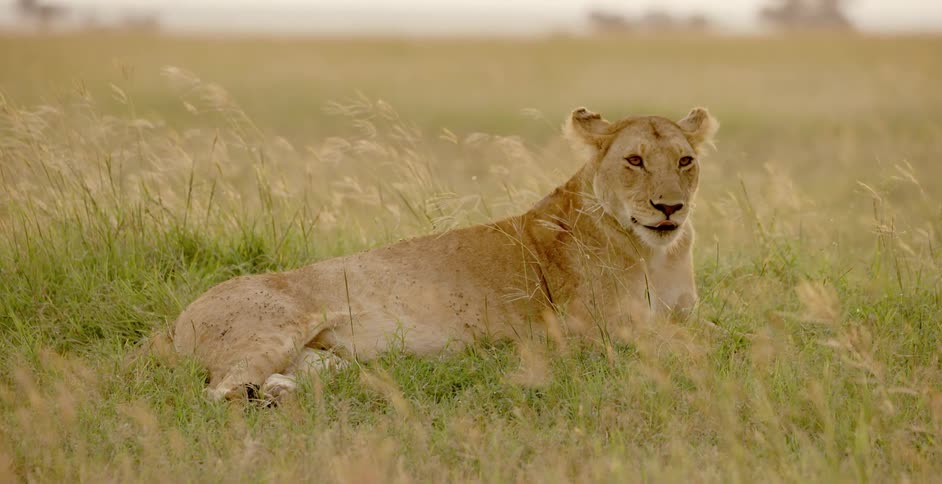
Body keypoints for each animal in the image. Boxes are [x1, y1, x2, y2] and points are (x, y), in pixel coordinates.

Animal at [171, 106, 719, 401]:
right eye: (634, 160)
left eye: (685, 160)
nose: (669, 207)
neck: (656, 253)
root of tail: (176, 322)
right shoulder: (596, 328)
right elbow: (690, 343)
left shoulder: (681, 312)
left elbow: (714, 330)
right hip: (273, 327)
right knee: (219, 391)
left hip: (323, 359)